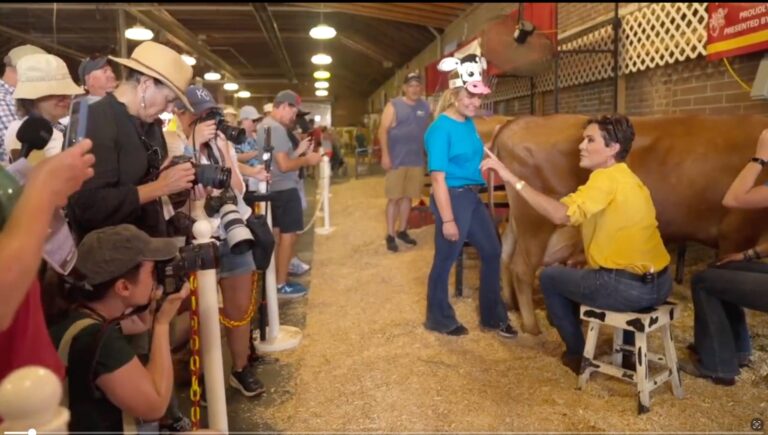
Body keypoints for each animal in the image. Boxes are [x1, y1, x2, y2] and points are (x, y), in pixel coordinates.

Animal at [496, 114, 768, 336]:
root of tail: (518, 122)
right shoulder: (736, 232)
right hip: (535, 222)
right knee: (522, 267)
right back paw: (532, 327)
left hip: (520, 221)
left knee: (505, 253)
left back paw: (510, 305)